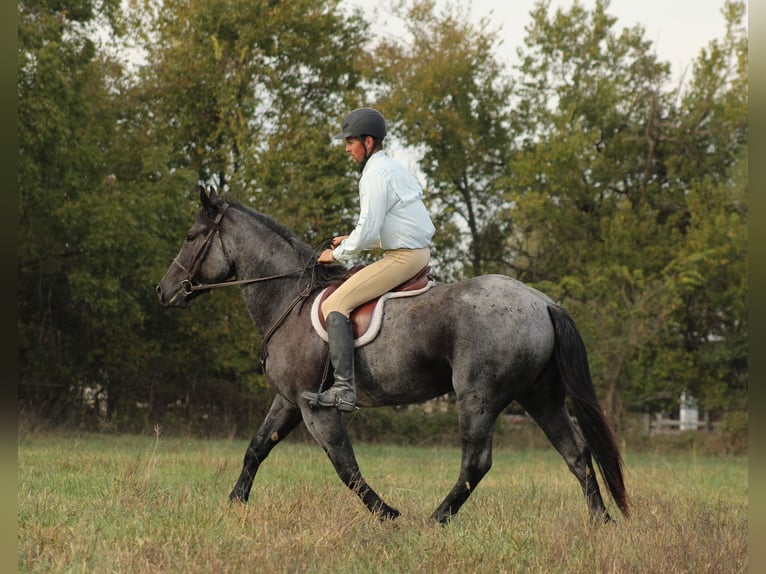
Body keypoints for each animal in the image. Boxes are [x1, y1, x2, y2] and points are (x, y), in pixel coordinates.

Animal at [156, 188, 629, 524]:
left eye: (191, 237)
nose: (164, 291)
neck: (289, 296)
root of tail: (543, 302)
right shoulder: (289, 400)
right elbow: (256, 448)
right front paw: (235, 503)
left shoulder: (315, 407)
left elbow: (344, 465)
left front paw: (387, 514)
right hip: (540, 397)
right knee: (576, 453)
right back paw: (600, 521)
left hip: (478, 398)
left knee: (477, 461)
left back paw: (435, 520)